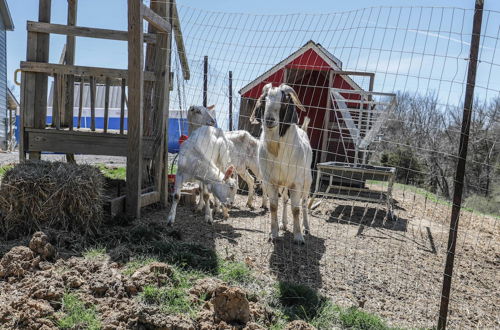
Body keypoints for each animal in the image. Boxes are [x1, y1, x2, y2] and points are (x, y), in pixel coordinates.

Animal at [250, 84, 312, 244]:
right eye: (264, 101)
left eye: (283, 102)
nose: (269, 120)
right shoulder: (270, 181)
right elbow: (273, 206)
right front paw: (274, 234)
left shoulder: (296, 183)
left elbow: (296, 209)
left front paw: (298, 237)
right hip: (283, 184)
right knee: (284, 199)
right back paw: (283, 224)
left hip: (307, 181)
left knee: (304, 203)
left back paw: (306, 227)